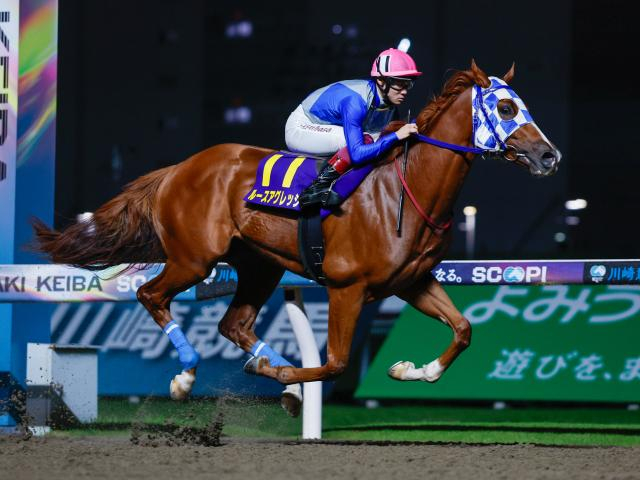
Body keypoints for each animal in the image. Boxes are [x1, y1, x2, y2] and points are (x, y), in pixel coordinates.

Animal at [32, 60, 560, 416]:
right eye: (506, 107)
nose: (549, 156)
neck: (408, 190)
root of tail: (179, 168)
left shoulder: (412, 281)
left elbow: (464, 329)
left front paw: (410, 370)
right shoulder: (347, 287)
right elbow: (336, 363)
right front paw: (288, 379)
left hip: (259, 265)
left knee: (234, 325)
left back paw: (271, 375)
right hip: (194, 259)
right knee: (150, 295)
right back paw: (186, 374)